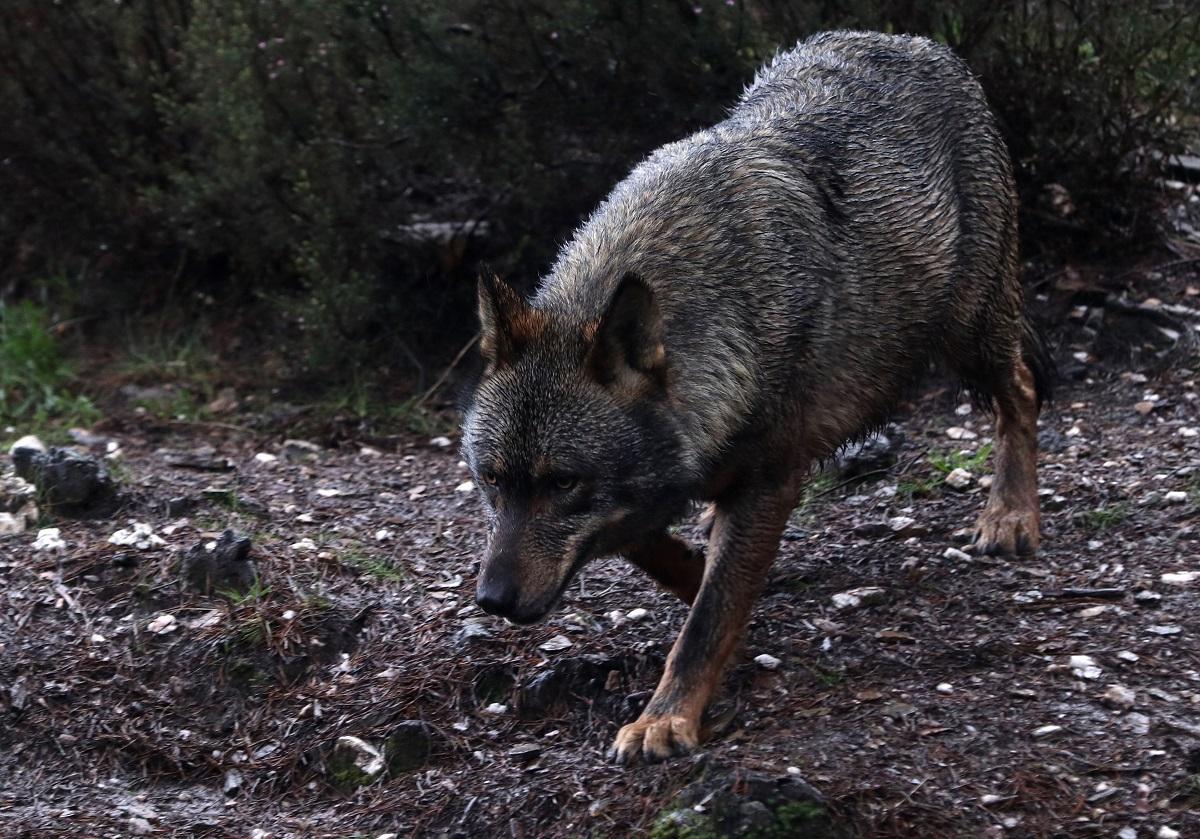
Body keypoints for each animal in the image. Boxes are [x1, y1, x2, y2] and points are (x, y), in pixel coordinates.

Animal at [460, 30, 1052, 765]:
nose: (492, 600)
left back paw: (1011, 515)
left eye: (563, 482)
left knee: (1020, 393)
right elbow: (663, 551)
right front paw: (707, 577)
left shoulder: (770, 480)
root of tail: (917, 43)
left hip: (971, 332)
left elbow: (707, 620)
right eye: (492, 481)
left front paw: (666, 719)